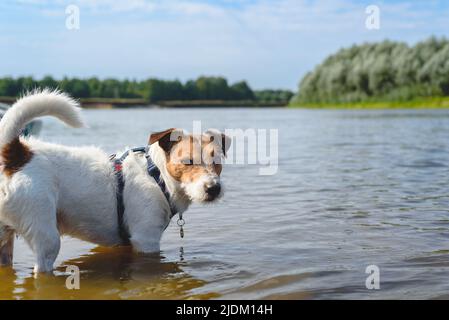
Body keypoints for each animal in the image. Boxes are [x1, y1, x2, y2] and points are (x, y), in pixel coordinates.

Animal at [0, 89, 231, 272]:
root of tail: (16, 154)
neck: (157, 176)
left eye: (217, 160)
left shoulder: (126, 243)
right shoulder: (146, 240)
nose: (213, 188)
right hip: (46, 235)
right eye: (188, 161)